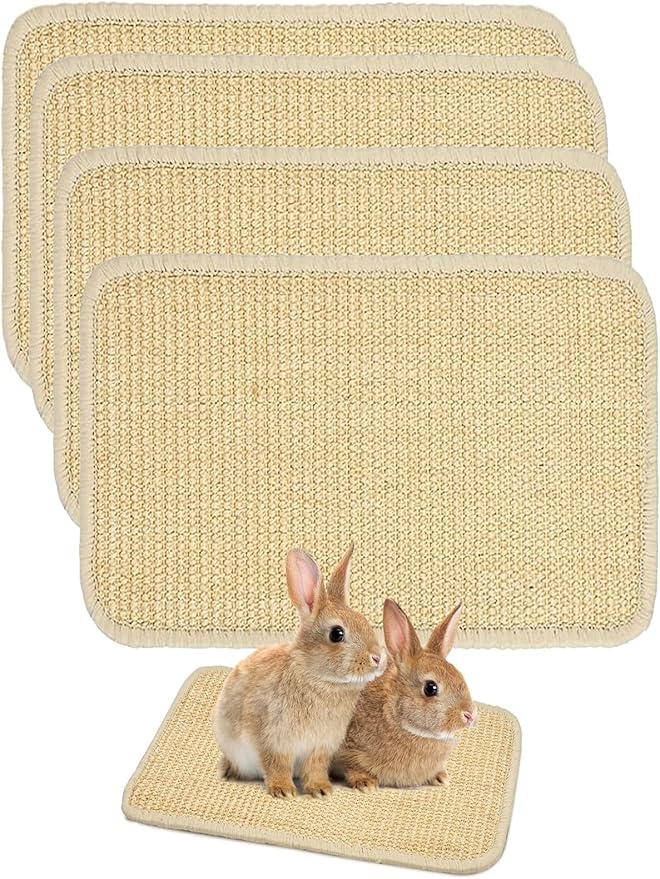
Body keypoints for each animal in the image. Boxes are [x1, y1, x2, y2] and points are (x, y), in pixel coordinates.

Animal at [213, 544, 385, 798]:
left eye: (364, 621)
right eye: (336, 634)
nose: (377, 658)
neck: (317, 677)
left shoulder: (320, 747)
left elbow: (315, 769)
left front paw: (321, 790)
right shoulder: (275, 741)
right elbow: (277, 765)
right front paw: (283, 791)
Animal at [333, 599, 476, 790]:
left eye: (460, 675)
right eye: (430, 688)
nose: (470, 714)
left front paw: (441, 777)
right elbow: (351, 765)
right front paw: (365, 783)